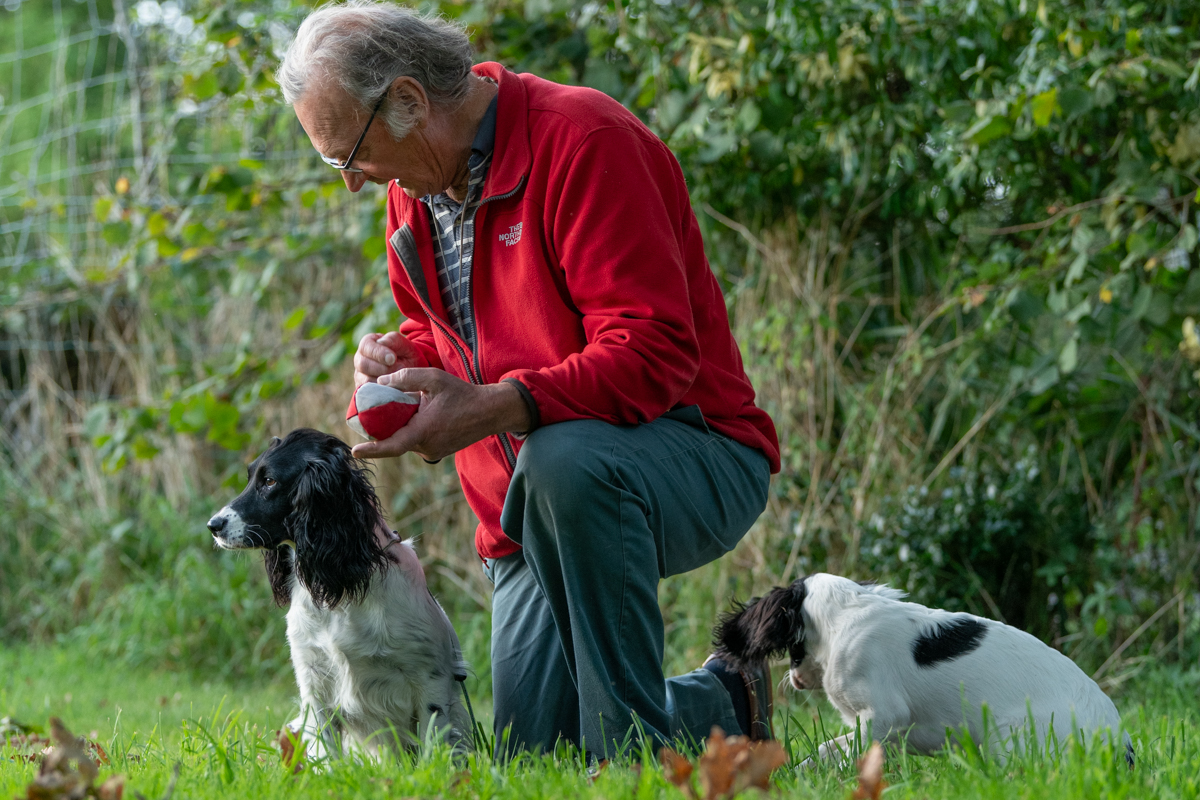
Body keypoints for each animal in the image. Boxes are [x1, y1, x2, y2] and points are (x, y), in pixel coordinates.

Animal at [206, 429, 468, 762]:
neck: (340, 591)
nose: (213, 525)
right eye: (251, 477)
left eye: (270, 481)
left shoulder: (431, 682)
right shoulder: (314, 684)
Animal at [715, 575, 1128, 762]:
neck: (845, 614)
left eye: (795, 648)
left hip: (1009, 733)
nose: (795, 679)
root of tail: (1119, 744)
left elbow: (838, 748)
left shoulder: (883, 714)